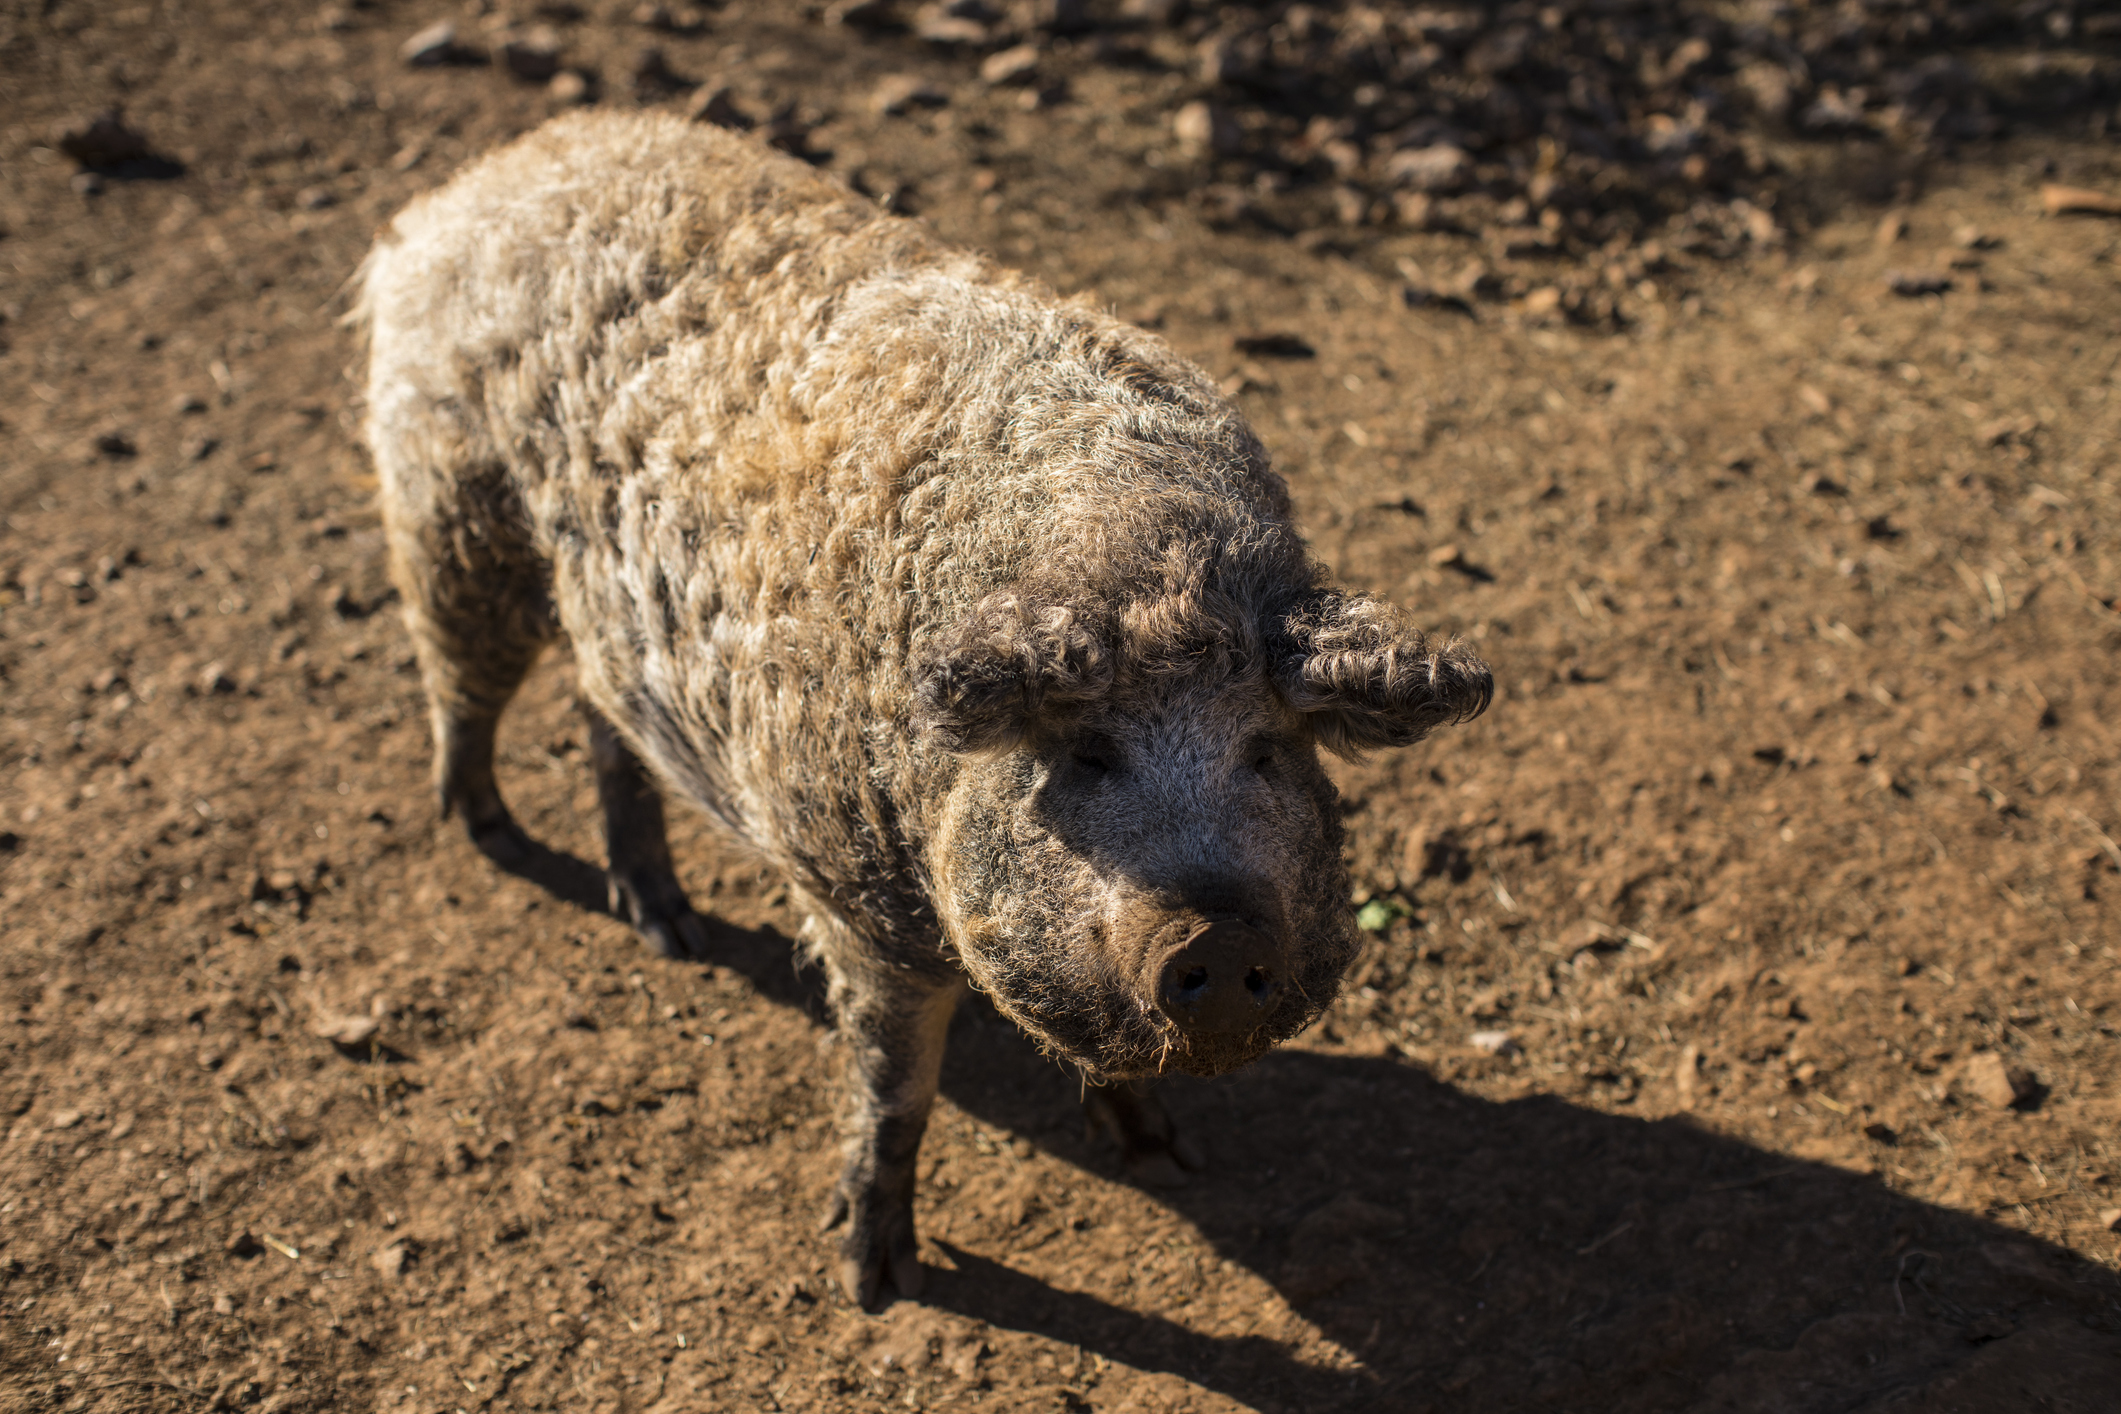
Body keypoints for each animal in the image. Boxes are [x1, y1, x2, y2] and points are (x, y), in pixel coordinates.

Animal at [356, 110, 1493, 1305]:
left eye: (1269, 753)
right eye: (1085, 757)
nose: (1215, 933)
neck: (1142, 557)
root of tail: (475, 181)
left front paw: (1165, 1156)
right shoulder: (855, 894)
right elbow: (894, 1089)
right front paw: (873, 1278)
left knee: (601, 723)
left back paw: (664, 924)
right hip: (449, 508)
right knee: (457, 677)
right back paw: (483, 829)